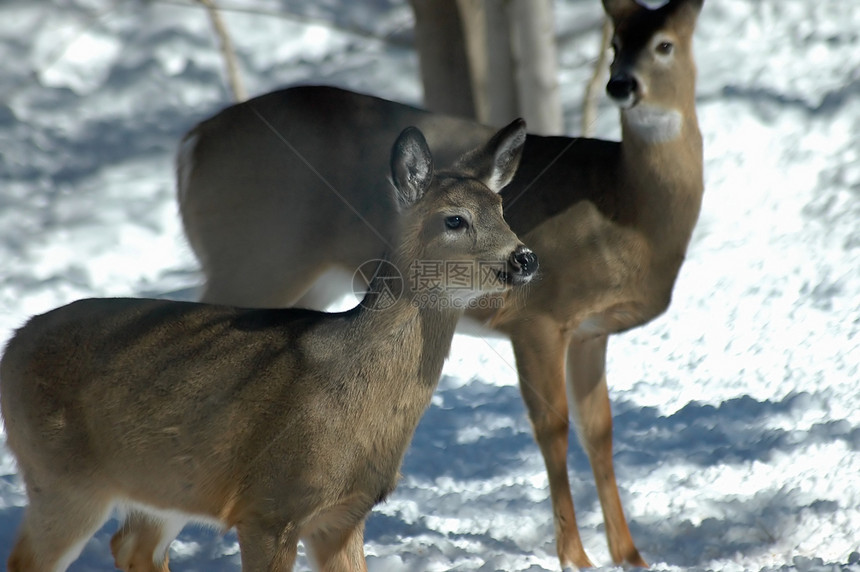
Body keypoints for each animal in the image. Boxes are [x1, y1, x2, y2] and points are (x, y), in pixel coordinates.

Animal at [0, 119, 536, 572]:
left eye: (502, 209)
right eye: (455, 220)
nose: (525, 258)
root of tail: (13, 343)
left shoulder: (343, 516)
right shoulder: (269, 505)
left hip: (166, 483)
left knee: (133, 546)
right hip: (62, 477)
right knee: (31, 559)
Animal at [163, 0, 704, 564]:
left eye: (666, 43)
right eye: (617, 44)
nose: (621, 84)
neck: (626, 207)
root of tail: (190, 143)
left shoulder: (590, 332)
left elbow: (599, 430)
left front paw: (631, 556)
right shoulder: (539, 318)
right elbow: (552, 427)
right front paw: (575, 557)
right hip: (252, 257)